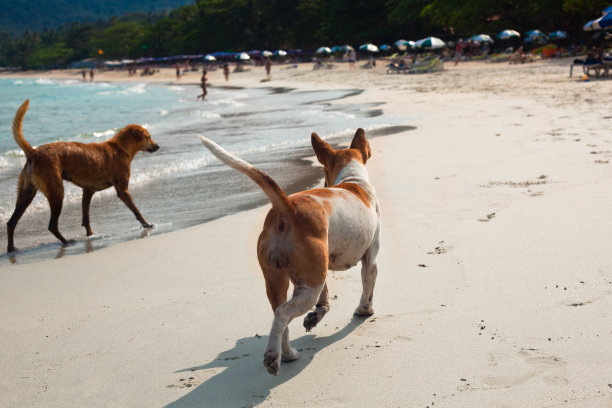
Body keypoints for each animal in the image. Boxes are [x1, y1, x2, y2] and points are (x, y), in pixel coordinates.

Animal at [6, 99, 159, 252]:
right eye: (149, 137)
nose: (158, 146)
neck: (120, 148)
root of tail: (34, 152)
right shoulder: (122, 190)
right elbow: (136, 210)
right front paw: (146, 224)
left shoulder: (88, 191)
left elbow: (86, 216)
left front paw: (90, 234)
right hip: (56, 192)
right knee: (52, 225)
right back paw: (66, 241)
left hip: (26, 194)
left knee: (11, 222)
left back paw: (12, 249)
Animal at [201, 129, 380, 374]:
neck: (353, 181)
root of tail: (287, 207)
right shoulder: (370, 259)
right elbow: (367, 286)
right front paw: (364, 310)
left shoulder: (320, 267)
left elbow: (325, 298)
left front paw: (317, 315)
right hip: (309, 286)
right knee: (283, 314)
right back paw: (273, 356)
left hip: (280, 280)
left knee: (281, 316)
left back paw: (286, 354)